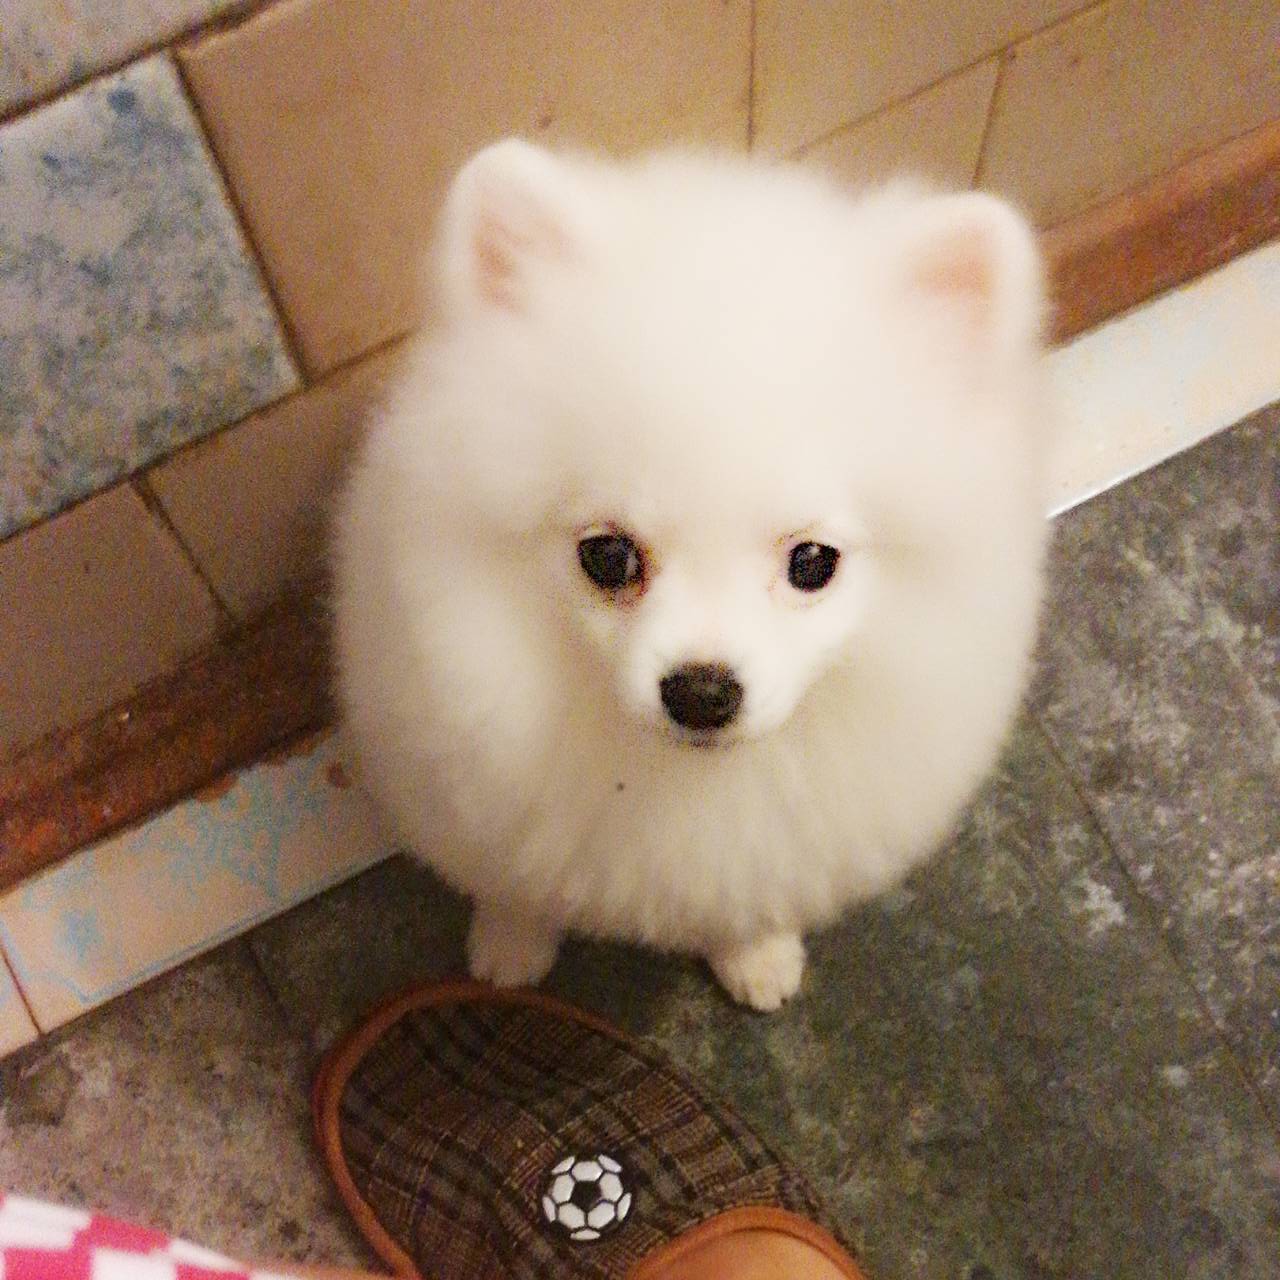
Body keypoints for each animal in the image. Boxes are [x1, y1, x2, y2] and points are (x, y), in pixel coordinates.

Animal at [332, 140, 1048, 1010]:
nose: (702, 692)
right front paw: (509, 948)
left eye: (812, 563)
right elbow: (514, 881)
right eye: (607, 555)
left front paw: (758, 954)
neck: (675, 780)